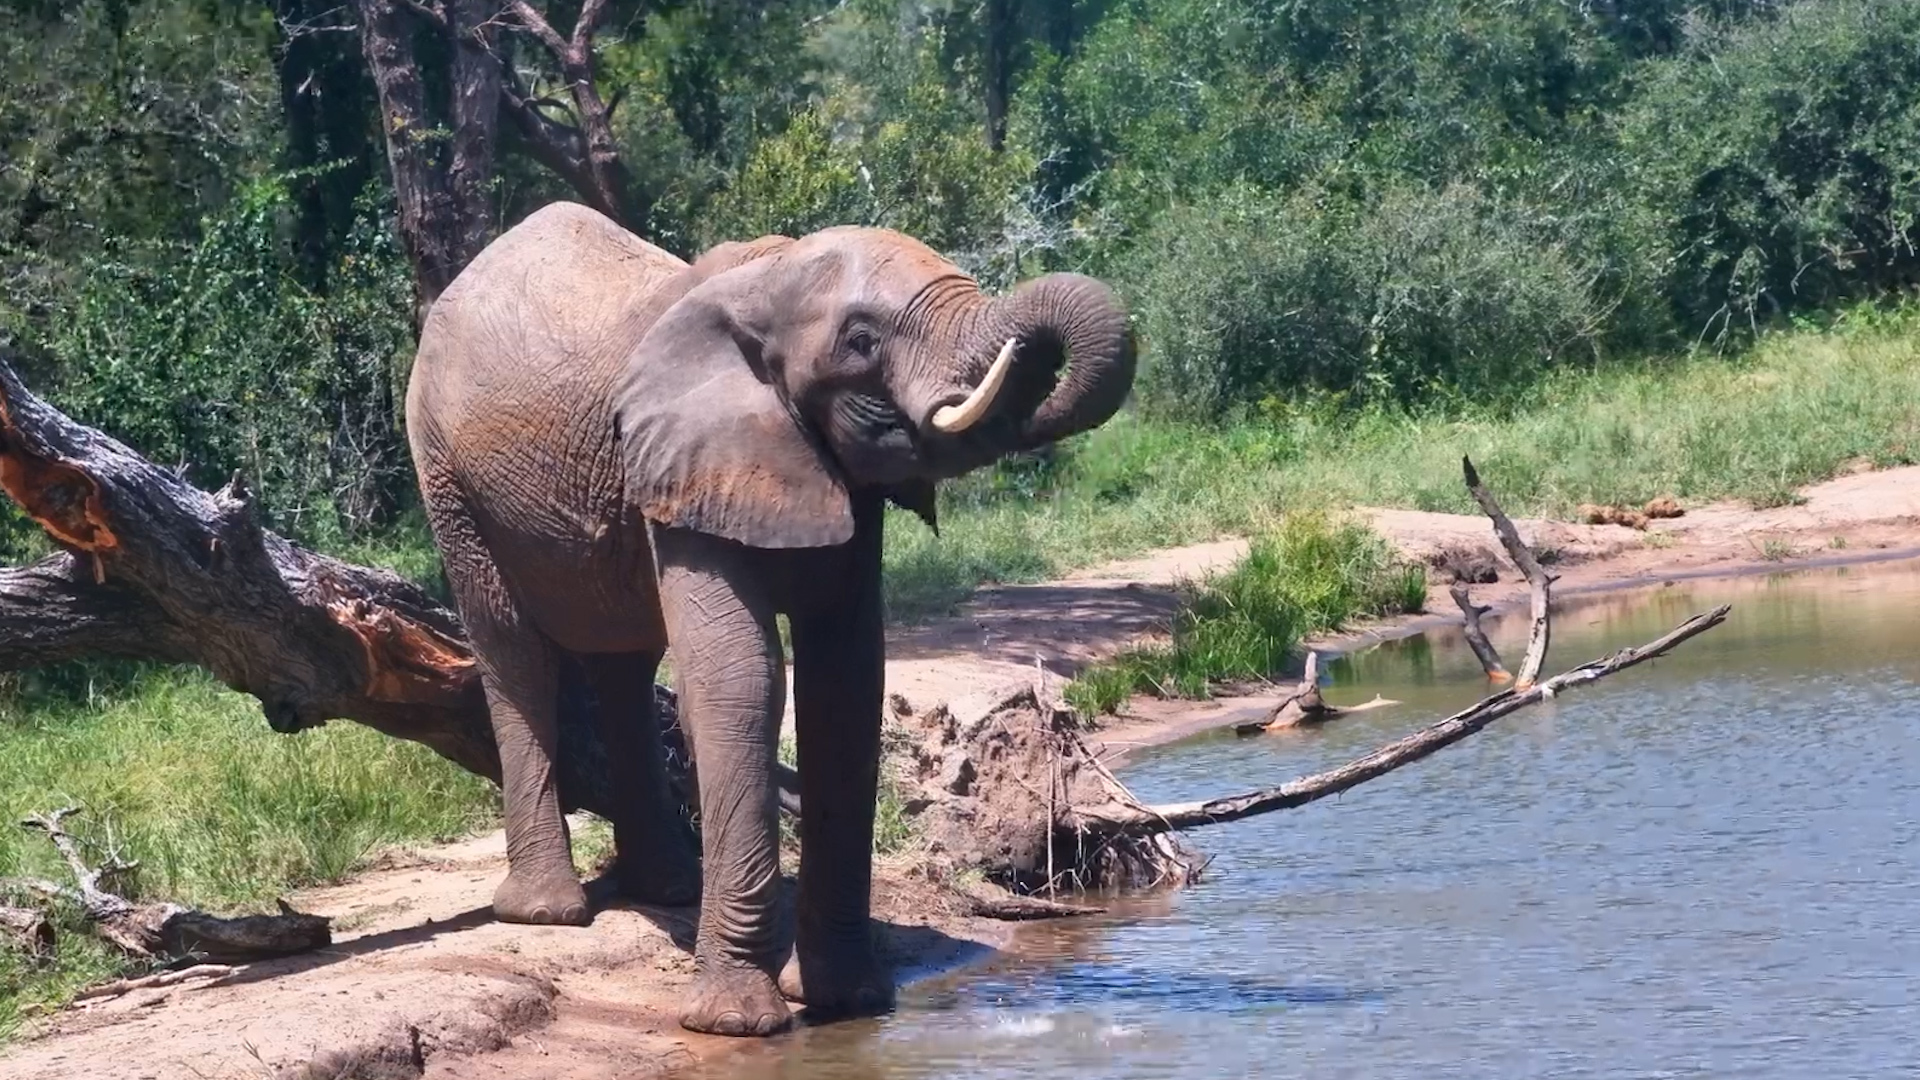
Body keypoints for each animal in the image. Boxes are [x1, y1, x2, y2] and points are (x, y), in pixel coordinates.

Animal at [404, 202, 1136, 1036]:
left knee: (623, 660)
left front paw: (851, 1003)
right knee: (513, 651)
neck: (770, 279)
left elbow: (846, 678)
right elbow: (742, 677)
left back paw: (669, 888)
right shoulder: (684, 457)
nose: (1024, 358)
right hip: (446, 476)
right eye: (861, 339)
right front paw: (736, 1024)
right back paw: (548, 913)